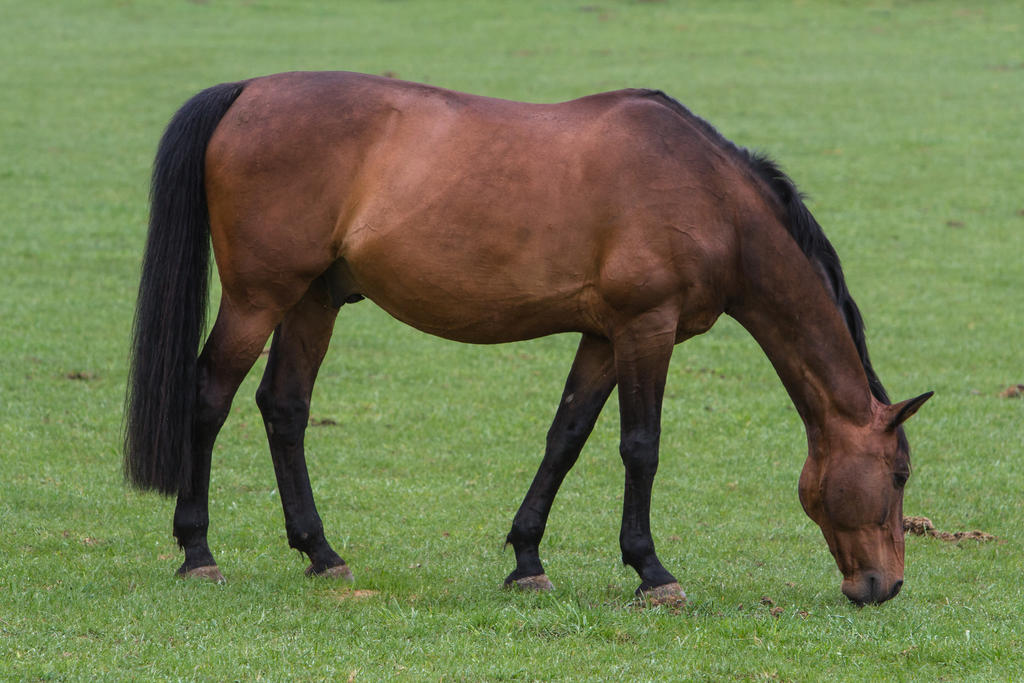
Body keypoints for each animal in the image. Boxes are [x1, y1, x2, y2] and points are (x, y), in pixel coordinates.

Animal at [123, 70, 933, 602]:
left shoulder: (604, 336)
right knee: (208, 396)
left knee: (285, 408)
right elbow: (641, 447)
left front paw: (526, 559)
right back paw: (197, 550)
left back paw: (321, 552)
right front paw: (652, 571)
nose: (884, 584)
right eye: (899, 473)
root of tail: (250, 91)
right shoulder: (647, 328)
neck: (708, 194)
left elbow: (565, 439)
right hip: (258, 299)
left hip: (313, 300)